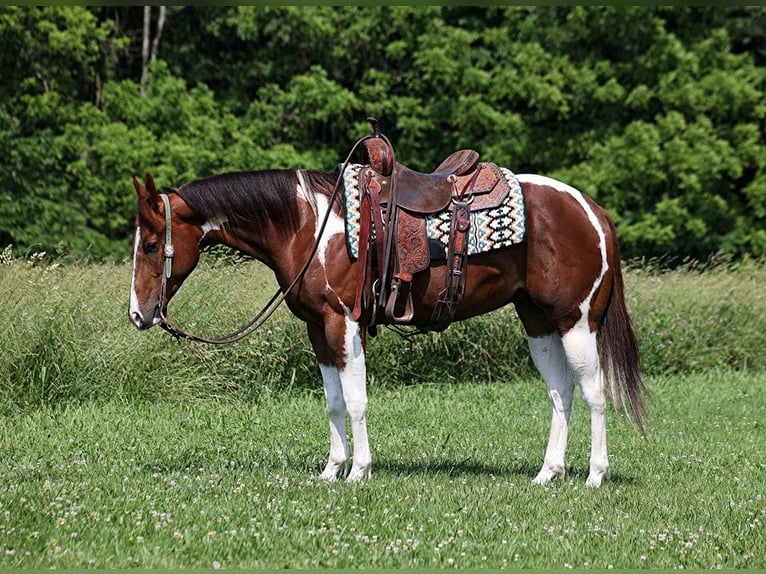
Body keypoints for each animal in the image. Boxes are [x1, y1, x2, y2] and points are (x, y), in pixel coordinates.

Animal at [129, 151, 647, 488]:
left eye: (152, 244)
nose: (138, 314)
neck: (309, 225)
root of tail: (593, 211)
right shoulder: (318, 329)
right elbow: (334, 402)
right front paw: (331, 470)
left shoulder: (343, 323)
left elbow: (356, 401)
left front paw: (359, 470)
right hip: (539, 322)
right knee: (561, 393)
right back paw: (547, 473)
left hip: (577, 322)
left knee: (594, 393)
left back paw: (595, 475)